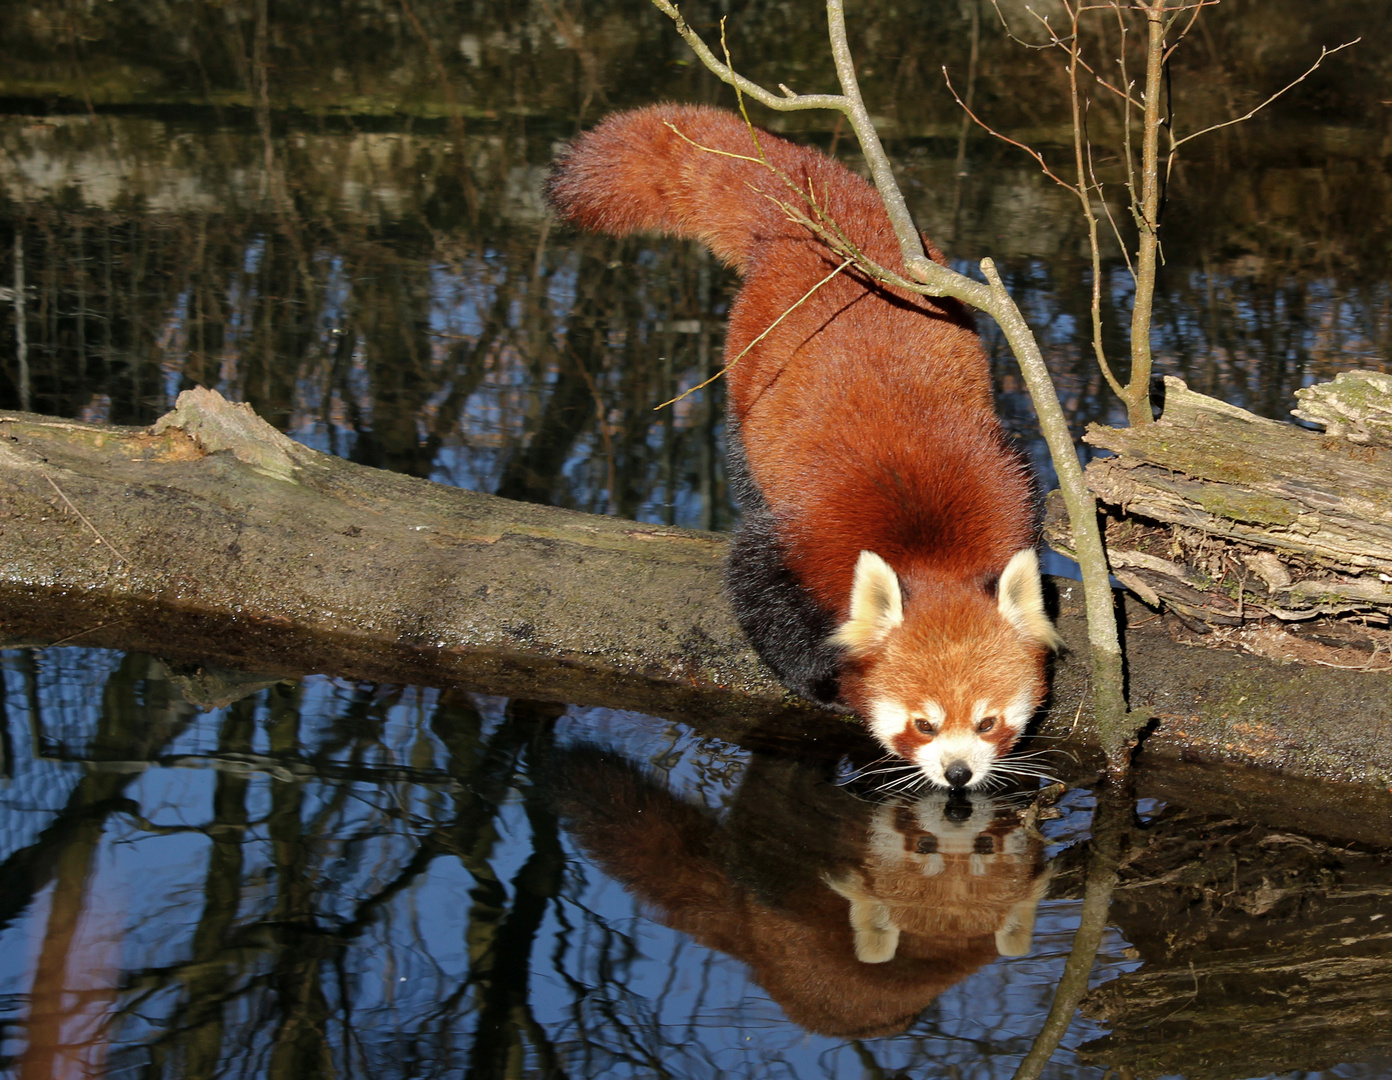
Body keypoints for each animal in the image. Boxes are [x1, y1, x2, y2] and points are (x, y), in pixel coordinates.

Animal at [548, 105, 1057, 790]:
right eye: (922, 724)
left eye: (988, 722)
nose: (957, 774)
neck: (930, 551)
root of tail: (817, 227)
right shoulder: (809, 533)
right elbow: (757, 587)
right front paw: (821, 680)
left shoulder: (1010, 486)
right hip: (748, 370)